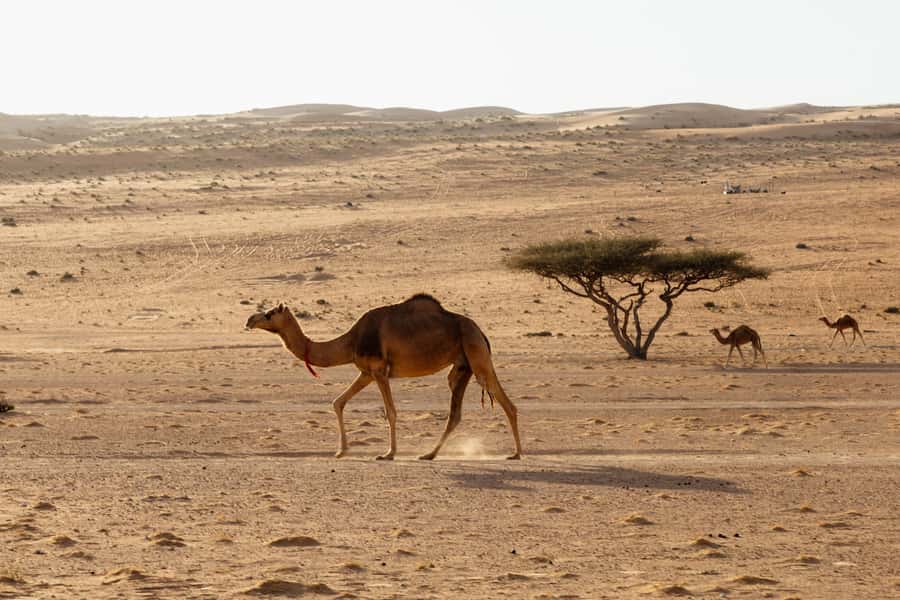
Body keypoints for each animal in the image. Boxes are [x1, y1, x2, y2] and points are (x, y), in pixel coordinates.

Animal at [245, 294, 522, 461]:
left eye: (269, 313)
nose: (249, 320)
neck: (350, 340)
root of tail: (481, 332)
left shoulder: (379, 370)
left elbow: (391, 411)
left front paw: (388, 453)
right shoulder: (366, 372)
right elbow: (338, 402)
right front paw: (340, 451)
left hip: (477, 355)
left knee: (506, 402)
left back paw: (517, 453)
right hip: (463, 366)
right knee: (457, 413)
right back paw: (429, 454)